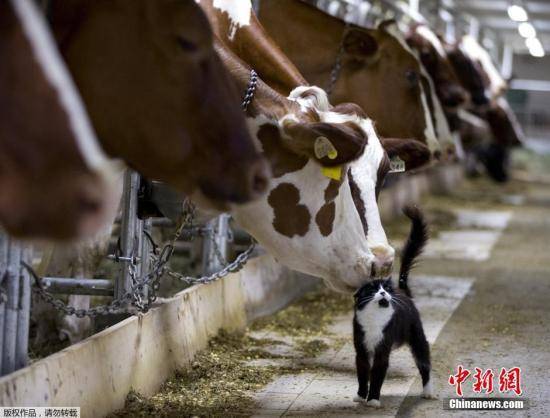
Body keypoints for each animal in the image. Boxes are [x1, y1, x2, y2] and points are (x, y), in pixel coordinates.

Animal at [356, 206, 438, 408]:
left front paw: (373, 400)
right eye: (372, 289)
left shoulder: (382, 351)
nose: (383, 293)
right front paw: (360, 396)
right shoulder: (361, 349)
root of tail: (404, 292)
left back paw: (428, 392)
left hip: (418, 338)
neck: (374, 319)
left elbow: (377, 375)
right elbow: (363, 373)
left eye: (386, 289)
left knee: (425, 364)